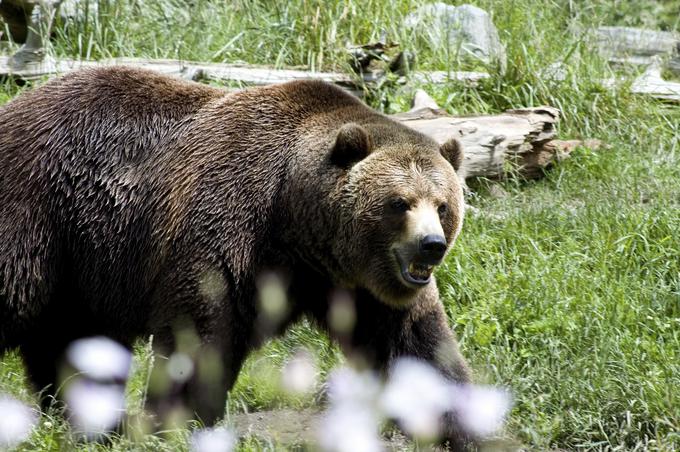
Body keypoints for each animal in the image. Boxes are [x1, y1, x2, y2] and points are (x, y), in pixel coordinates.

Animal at [0, 67, 472, 448]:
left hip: (83, 263)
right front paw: (179, 422)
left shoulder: (355, 283)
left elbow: (416, 344)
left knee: (74, 338)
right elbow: (201, 331)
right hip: (38, 207)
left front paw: (463, 426)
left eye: (443, 204)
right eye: (399, 202)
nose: (431, 244)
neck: (295, 220)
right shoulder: (229, 222)